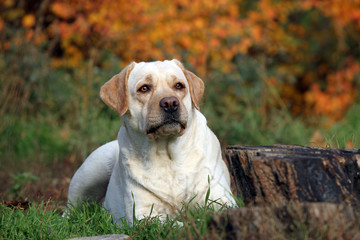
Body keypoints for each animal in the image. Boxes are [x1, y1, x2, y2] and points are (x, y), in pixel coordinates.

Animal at [67, 59, 236, 224]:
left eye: (179, 86)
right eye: (144, 88)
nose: (170, 103)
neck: (167, 155)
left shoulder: (221, 200)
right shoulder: (142, 214)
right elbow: (174, 224)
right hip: (91, 171)